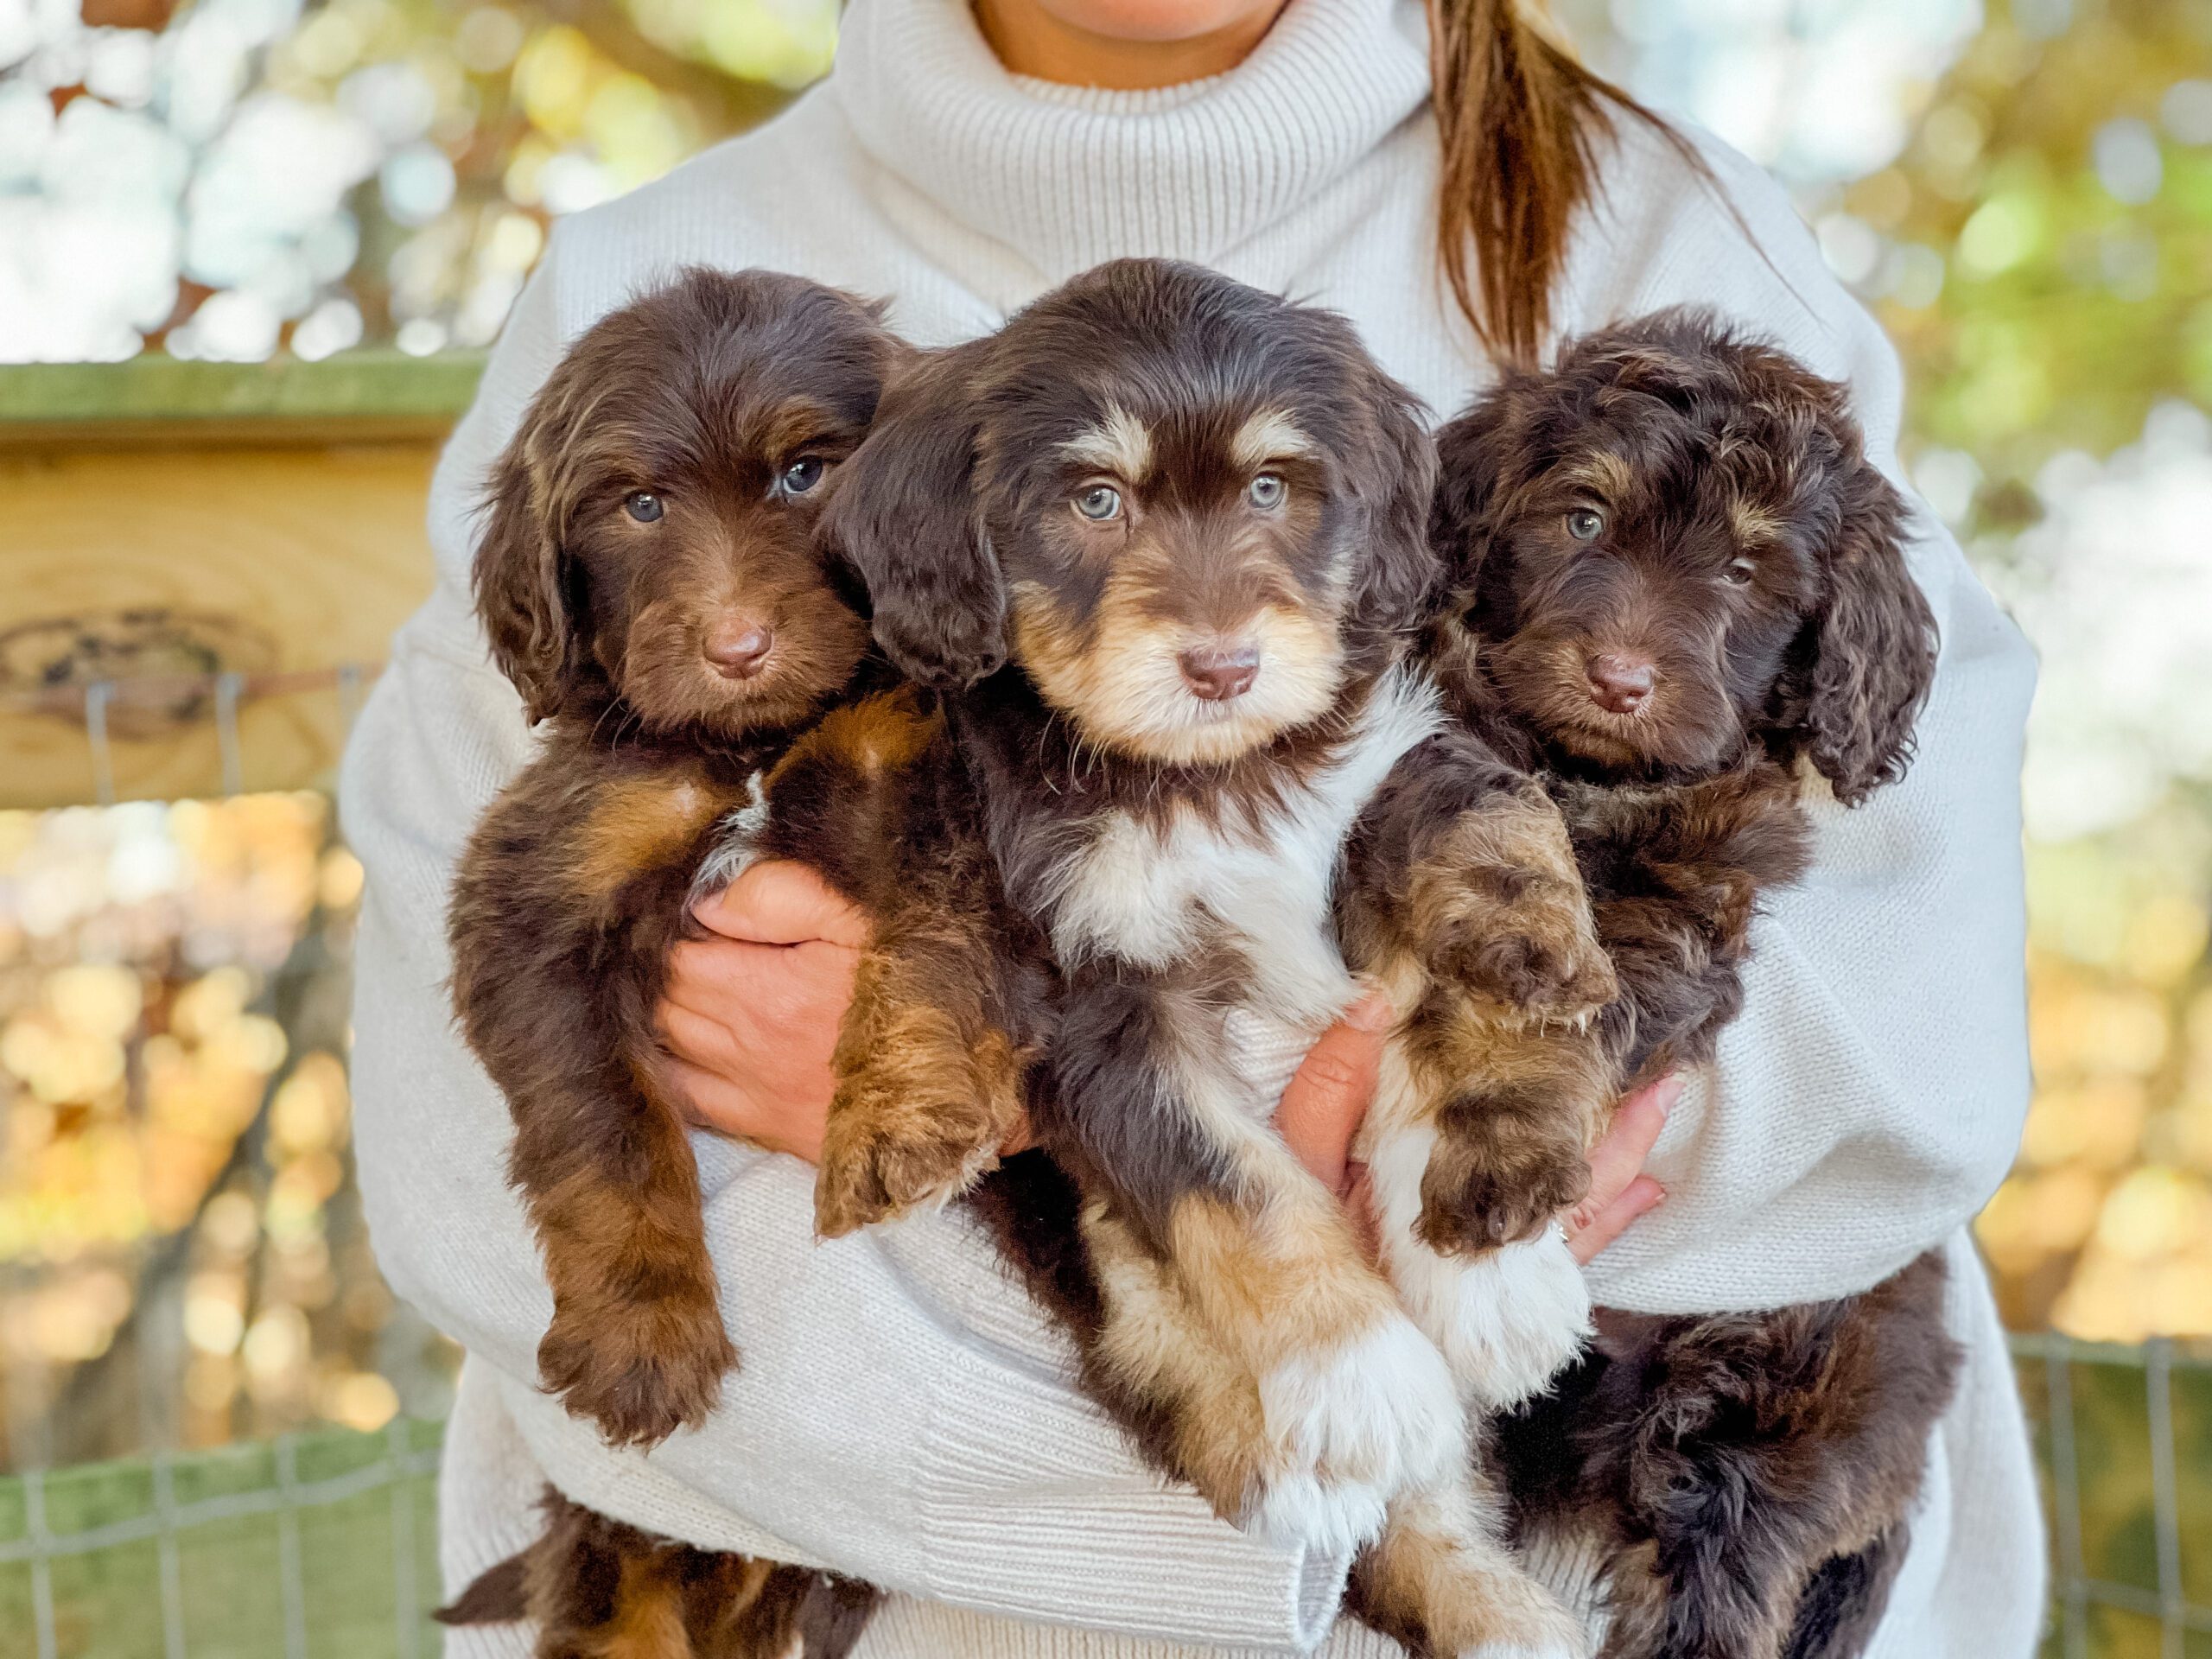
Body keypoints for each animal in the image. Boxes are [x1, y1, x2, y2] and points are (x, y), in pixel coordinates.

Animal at [1415, 314, 1955, 1659]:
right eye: (1582, 519)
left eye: (1752, 574)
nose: (1620, 679)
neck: (1597, 782)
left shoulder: (1691, 904)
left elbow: (1585, 1004)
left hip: (1762, 1420)